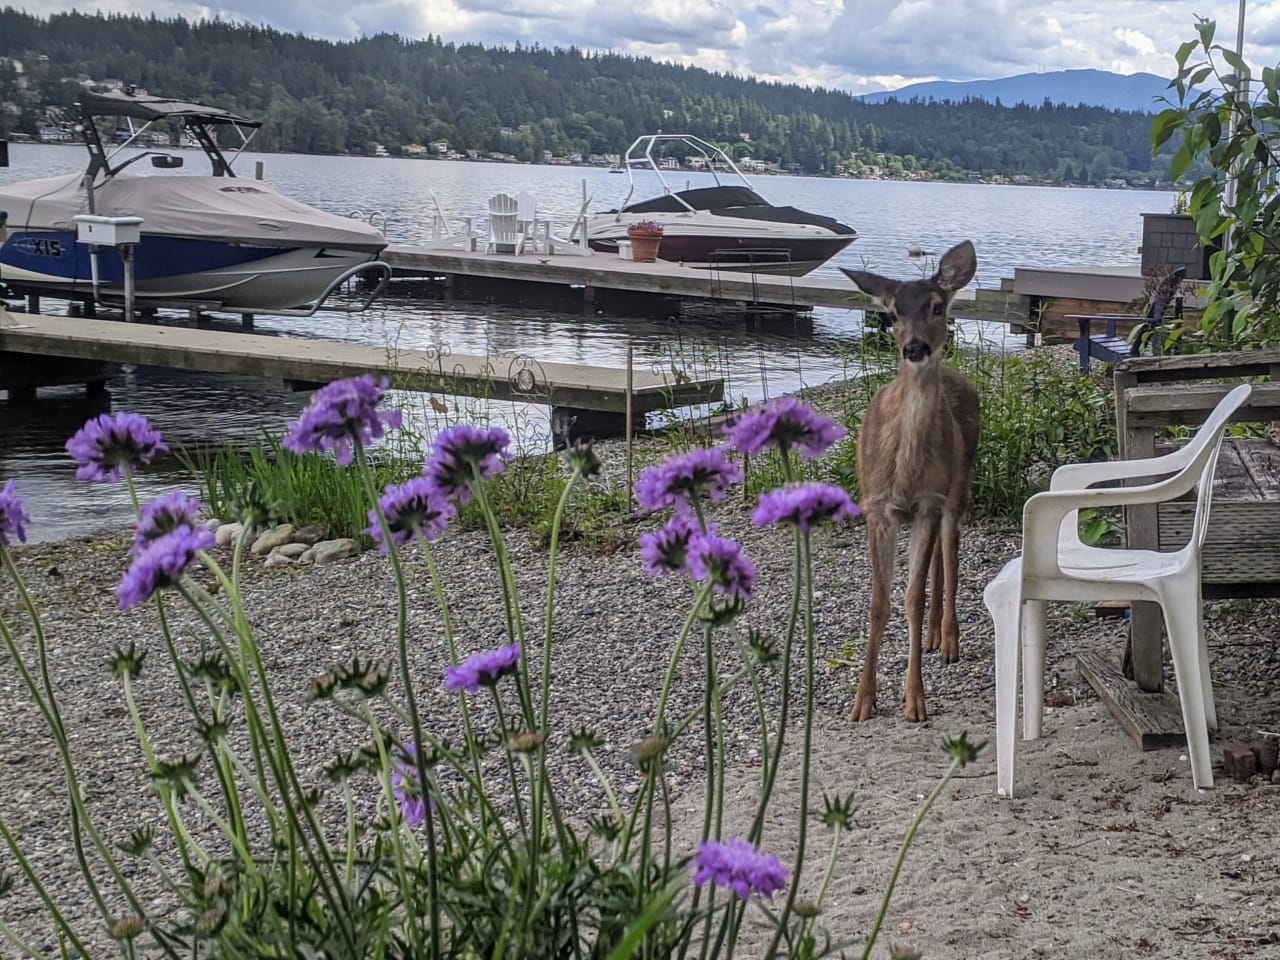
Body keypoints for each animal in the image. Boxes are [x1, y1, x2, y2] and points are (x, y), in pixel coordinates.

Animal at [839, 240, 977, 721]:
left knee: (951, 554)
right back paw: (936, 637)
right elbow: (879, 603)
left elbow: (911, 600)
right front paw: (862, 700)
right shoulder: (878, 506)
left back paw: (949, 639)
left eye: (937, 306)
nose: (915, 347)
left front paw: (914, 700)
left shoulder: (930, 501)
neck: (905, 471)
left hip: (958, 488)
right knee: (937, 557)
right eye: (892, 312)